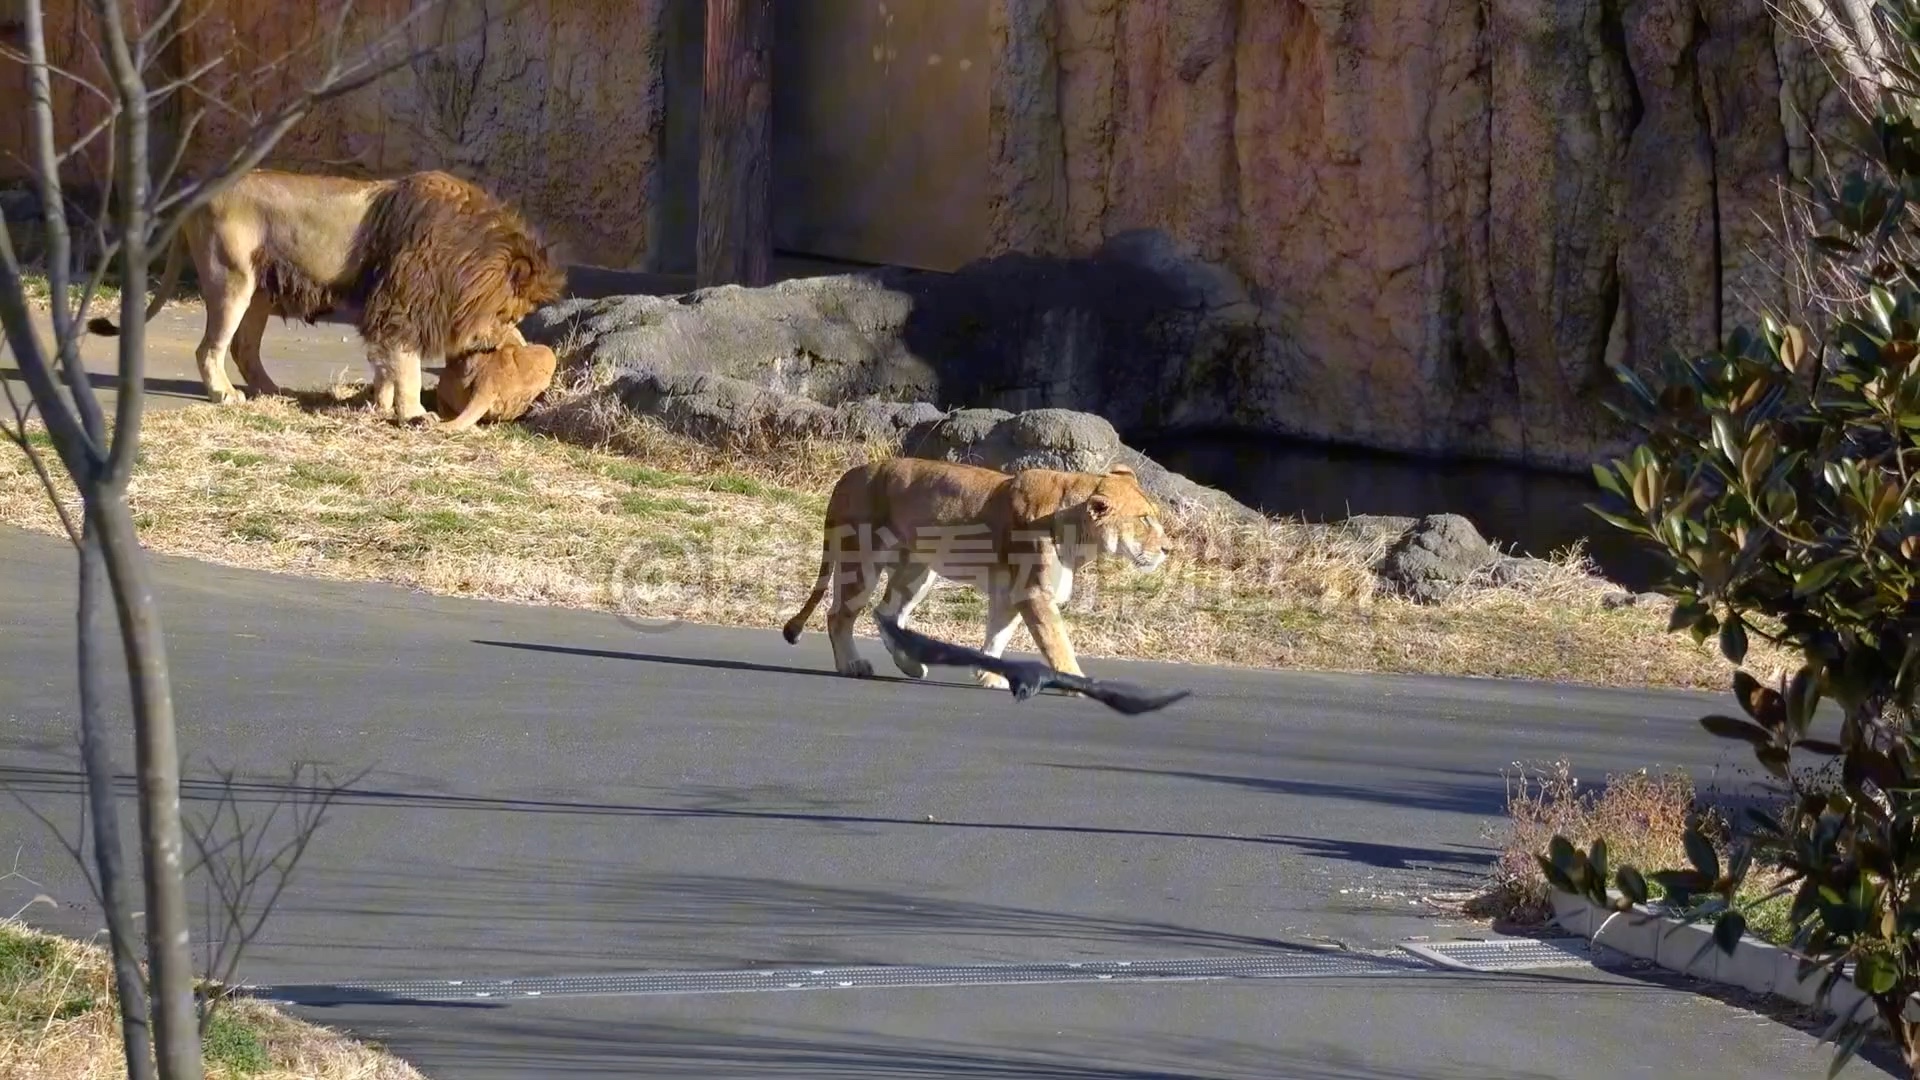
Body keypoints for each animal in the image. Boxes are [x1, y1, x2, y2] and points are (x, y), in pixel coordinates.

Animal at [775, 457, 1167, 684]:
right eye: (1144, 519)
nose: (1168, 548)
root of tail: (850, 473)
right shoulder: (1033, 592)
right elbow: (1056, 641)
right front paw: (1077, 680)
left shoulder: (1010, 592)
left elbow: (998, 634)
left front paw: (989, 675)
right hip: (863, 559)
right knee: (839, 615)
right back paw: (852, 665)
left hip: (918, 572)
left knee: (886, 614)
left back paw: (910, 666)